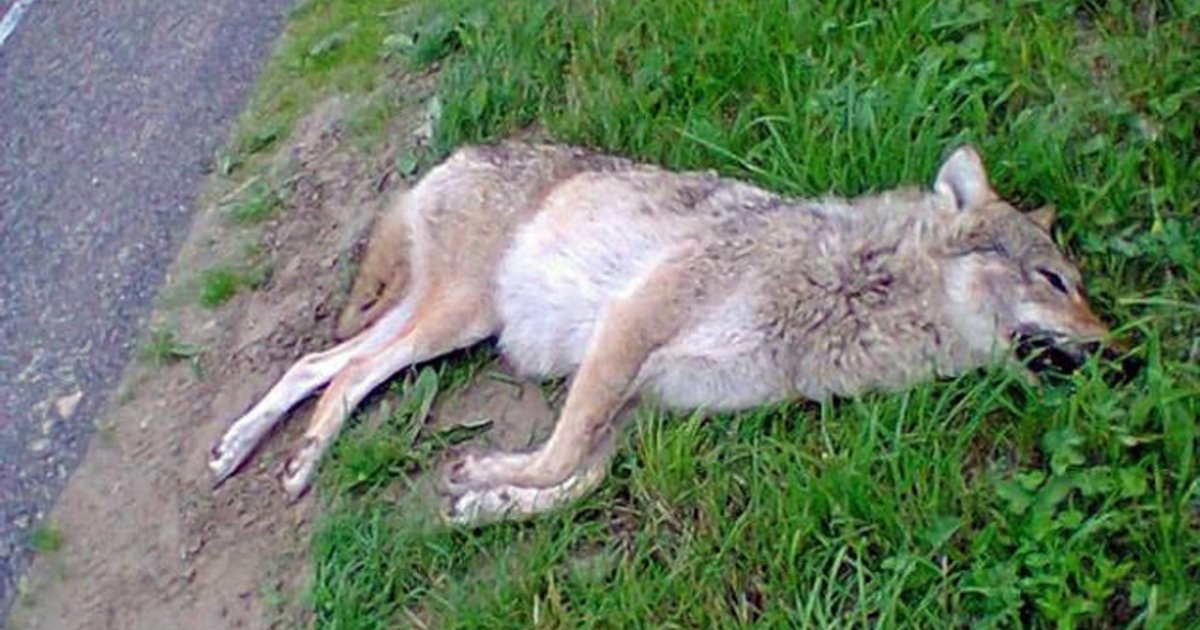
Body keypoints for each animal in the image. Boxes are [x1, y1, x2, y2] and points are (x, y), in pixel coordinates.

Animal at [209, 142, 1124, 524]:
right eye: (1055, 282)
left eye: (1084, 293)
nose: (1118, 348)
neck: (850, 292)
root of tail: (461, 150)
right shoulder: (628, 328)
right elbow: (562, 455)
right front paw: (482, 474)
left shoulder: (651, 403)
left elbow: (581, 481)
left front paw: (486, 503)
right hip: (457, 317)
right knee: (339, 371)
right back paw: (284, 458)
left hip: (444, 320)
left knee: (322, 364)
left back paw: (251, 454)